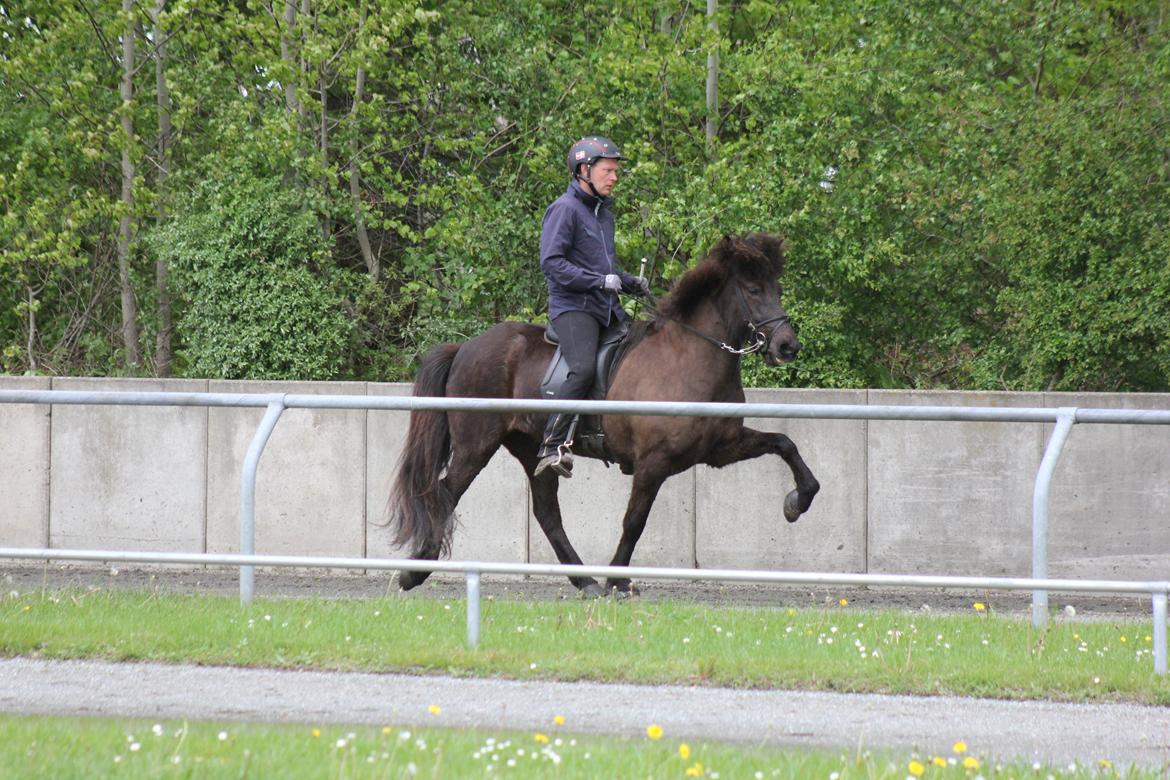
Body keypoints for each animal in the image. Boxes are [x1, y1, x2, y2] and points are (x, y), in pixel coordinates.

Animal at [388, 231, 819, 598]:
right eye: (753, 290)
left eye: (777, 289)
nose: (787, 346)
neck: (690, 357)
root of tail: (465, 348)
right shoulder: (653, 463)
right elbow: (634, 521)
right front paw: (619, 580)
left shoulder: (720, 449)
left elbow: (785, 444)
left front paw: (796, 502)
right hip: (476, 445)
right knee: (446, 493)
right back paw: (413, 572)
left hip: (531, 449)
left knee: (547, 514)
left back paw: (586, 582)